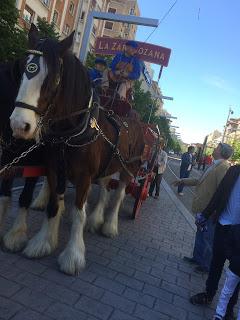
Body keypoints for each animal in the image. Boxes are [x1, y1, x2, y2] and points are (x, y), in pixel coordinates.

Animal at [9, 25, 144, 276]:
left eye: (53, 79)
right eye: (22, 69)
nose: (19, 125)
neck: (71, 130)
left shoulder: (84, 177)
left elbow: (79, 212)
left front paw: (73, 255)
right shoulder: (54, 171)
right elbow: (54, 204)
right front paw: (43, 242)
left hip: (129, 168)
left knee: (119, 194)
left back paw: (109, 225)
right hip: (107, 166)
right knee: (105, 189)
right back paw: (96, 220)